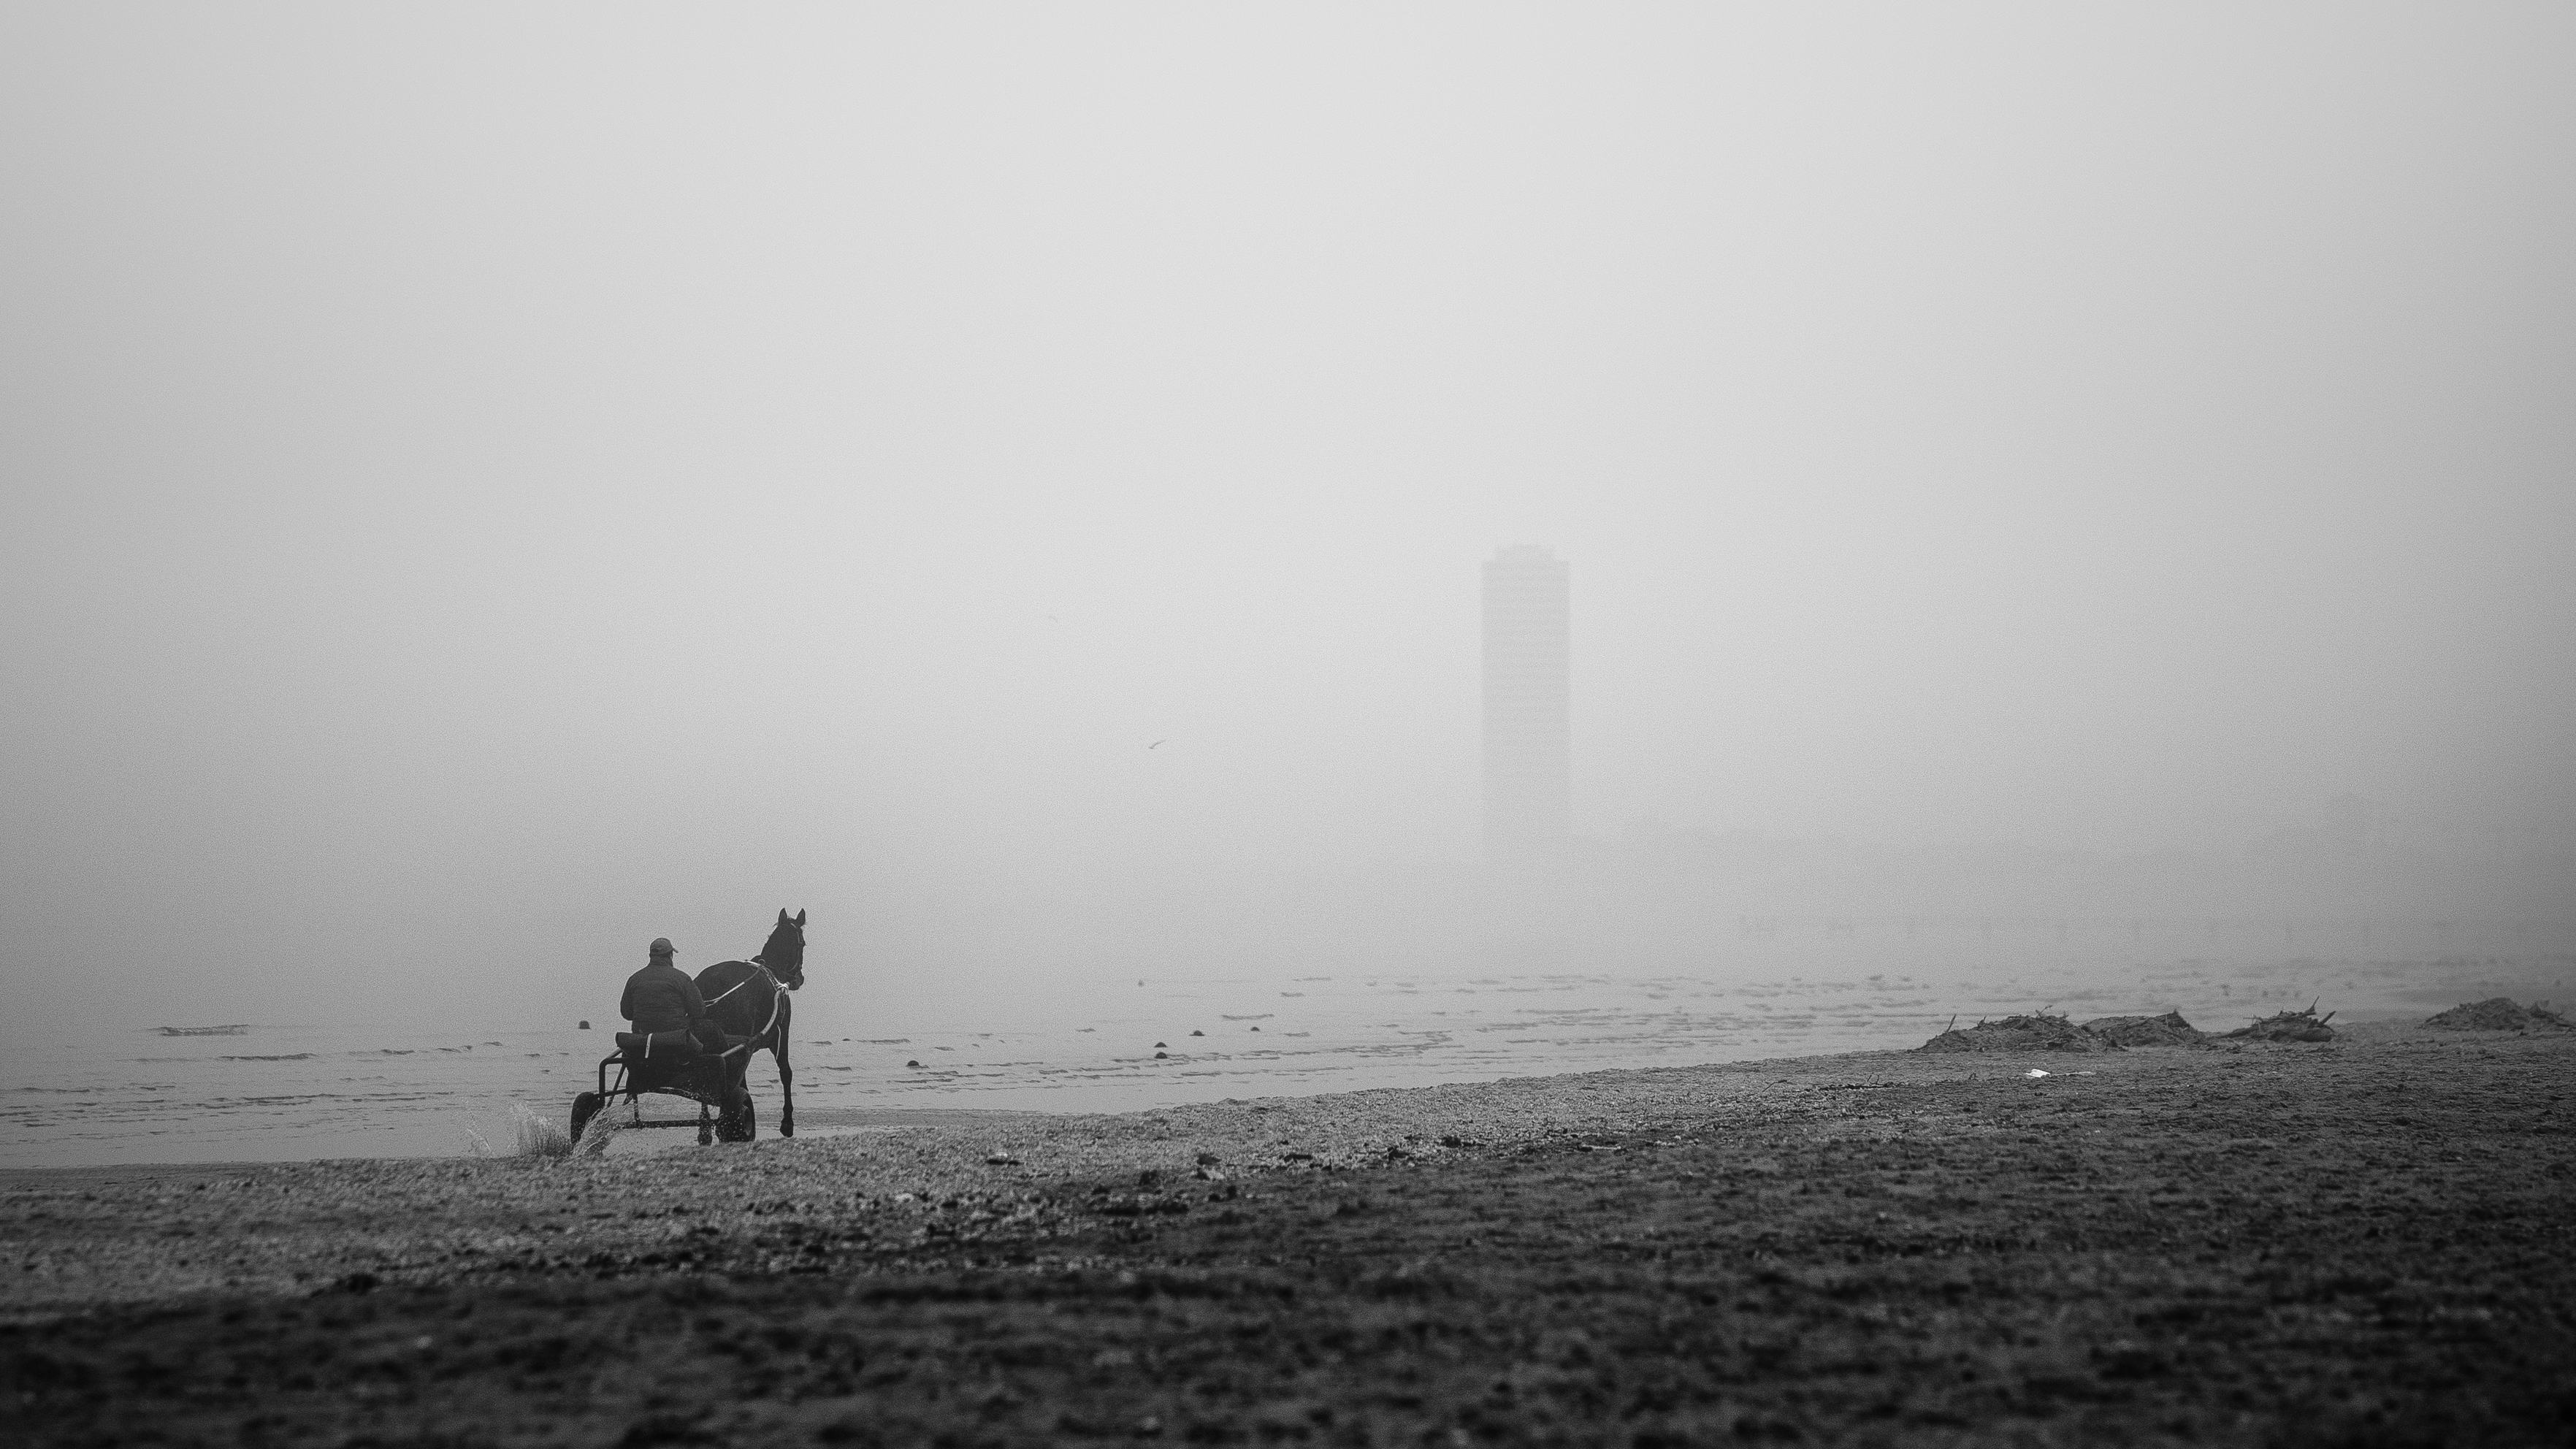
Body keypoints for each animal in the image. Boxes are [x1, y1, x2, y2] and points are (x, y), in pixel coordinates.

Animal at [695, 911, 803, 1137]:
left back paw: (705, 1127)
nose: (799, 978)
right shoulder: (779, 1035)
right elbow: (785, 1072)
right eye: (803, 944)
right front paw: (787, 1121)